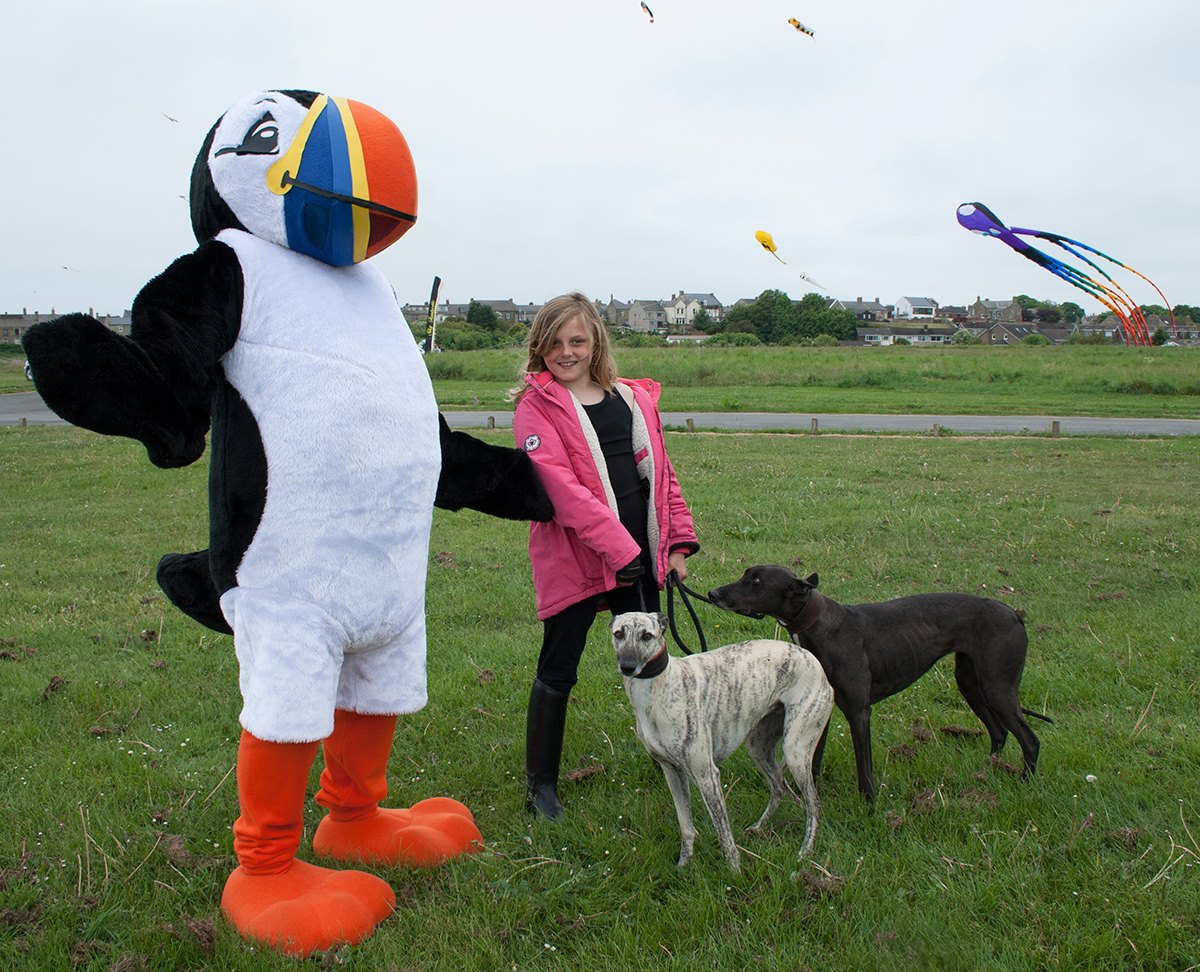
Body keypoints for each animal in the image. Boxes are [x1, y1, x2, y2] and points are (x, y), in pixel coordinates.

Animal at [614, 609, 830, 868]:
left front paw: (734, 869)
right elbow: (686, 827)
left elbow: (723, 833)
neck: (660, 686)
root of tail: (813, 660)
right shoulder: (671, 770)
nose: (628, 667)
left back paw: (805, 851)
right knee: (779, 787)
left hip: (795, 750)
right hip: (758, 747)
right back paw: (759, 827)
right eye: (618, 633)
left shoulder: (706, 774)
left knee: (813, 803)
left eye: (647, 635)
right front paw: (684, 864)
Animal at [705, 564, 1046, 796]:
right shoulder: (823, 709)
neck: (820, 625)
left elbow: (864, 769)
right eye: (746, 574)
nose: (712, 593)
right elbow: (814, 762)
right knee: (998, 732)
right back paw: (987, 773)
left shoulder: (859, 711)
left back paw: (1024, 783)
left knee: (1029, 739)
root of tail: (1014, 614)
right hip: (970, 682)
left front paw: (869, 807)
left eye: (756, 581)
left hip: (997, 686)